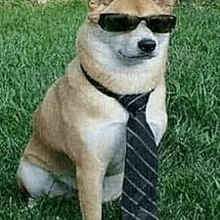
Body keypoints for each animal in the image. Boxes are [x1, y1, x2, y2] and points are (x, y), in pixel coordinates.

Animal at [16, 0, 176, 219]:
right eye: (120, 22)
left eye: (158, 23)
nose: (148, 44)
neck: (127, 91)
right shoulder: (91, 164)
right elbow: (92, 211)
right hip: (31, 173)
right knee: (37, 193)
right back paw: (31, 206)